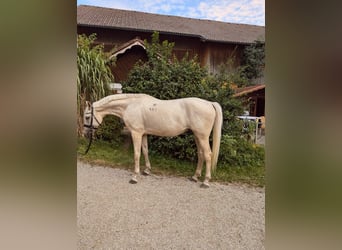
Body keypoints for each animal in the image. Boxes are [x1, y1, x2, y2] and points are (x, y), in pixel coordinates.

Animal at [82, 94, 222, 188]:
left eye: (87, 117)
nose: (85, 134)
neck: (131, 105)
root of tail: (210, 103)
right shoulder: (144, 134)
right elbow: (145, 151)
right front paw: (147, 170)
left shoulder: (136, 133)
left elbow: (137, 154)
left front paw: (134, 177)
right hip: (197, 136)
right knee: (201, 154)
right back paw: (194, 177)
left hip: (202, 136)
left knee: (208, 155)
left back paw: (206, 181)